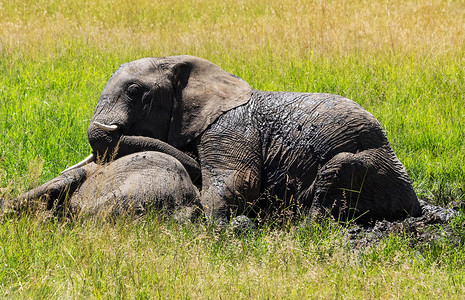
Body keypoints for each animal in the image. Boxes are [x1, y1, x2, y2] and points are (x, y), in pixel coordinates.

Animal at [61, 55, 420, 224]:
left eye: (135, 92)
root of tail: (415, 203)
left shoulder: (229, 129)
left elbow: (237, 181)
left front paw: (196, 219)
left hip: (371, 163)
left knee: (338, 170)